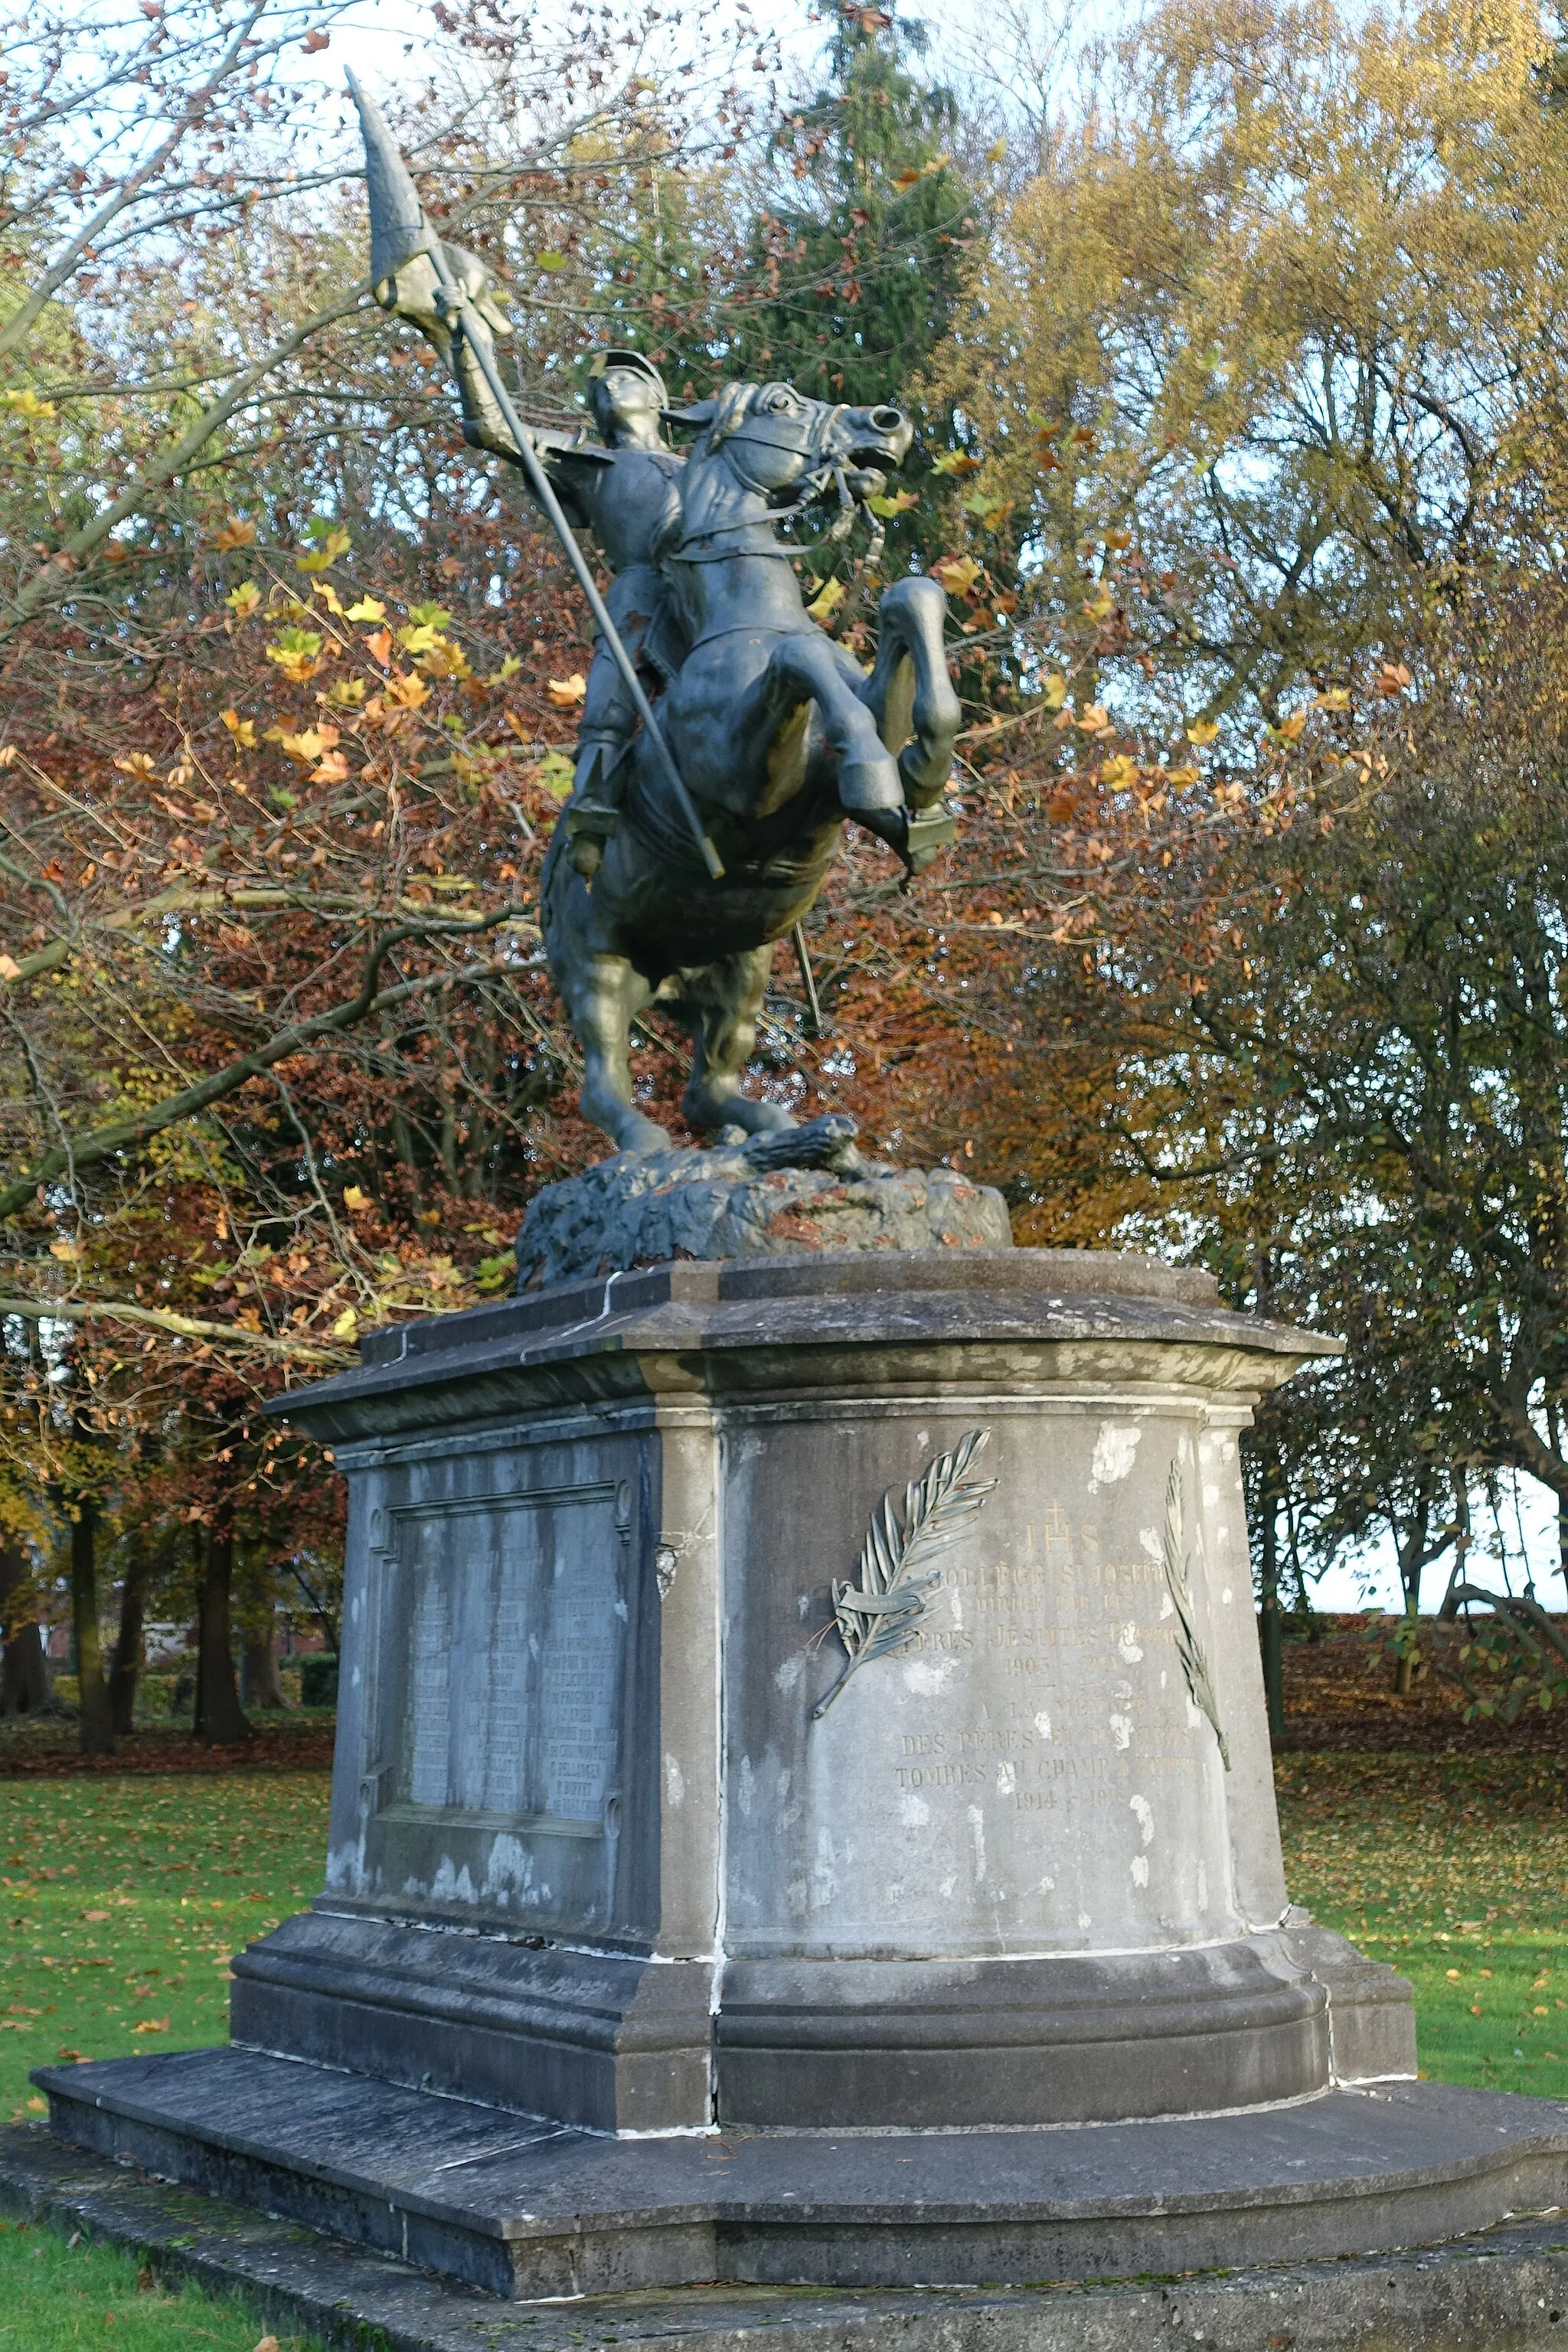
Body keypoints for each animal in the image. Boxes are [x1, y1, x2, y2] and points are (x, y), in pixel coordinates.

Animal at [545, 378, 963, 1157]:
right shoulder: (740, 780)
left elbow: (910, 599)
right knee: (604, 1087)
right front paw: (879, 771)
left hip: (743, 971)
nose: (889, 424)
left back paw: (793, 1134)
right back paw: (650, 1144)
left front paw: (921, 783)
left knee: (708, 1090)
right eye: (780, 402)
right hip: (601, 972)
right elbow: (799, 661)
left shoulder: (837, 742)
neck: (749, 618)